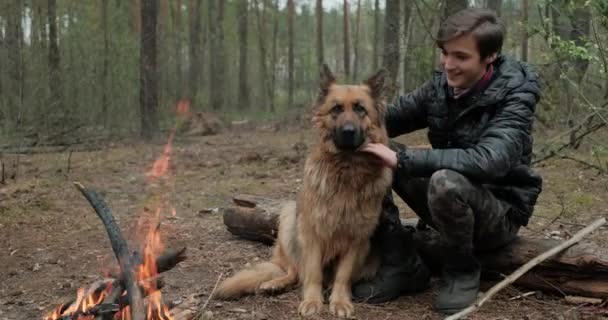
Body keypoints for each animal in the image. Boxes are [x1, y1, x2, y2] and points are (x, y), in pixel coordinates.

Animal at [216, 65, 392, 318]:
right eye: (336, 109)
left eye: (360, 109)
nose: (348, 131)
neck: (346, 170)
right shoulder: (311, 233)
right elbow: (312, 273)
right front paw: (312, 301)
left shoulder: (357, 238)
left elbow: (343, 275)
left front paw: (340, 301)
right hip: (290, 219)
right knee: (294, 271)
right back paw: (276, 283)